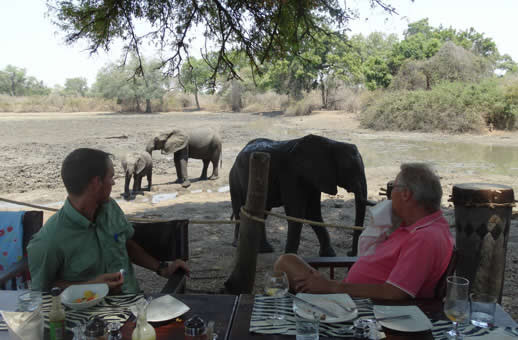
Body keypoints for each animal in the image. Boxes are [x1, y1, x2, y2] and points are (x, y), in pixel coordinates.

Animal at [232, 134, 370, 256]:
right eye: (349, 169)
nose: (350, 253)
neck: (332, 144)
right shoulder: (291, 174)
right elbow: (296, 213)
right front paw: (289, 257)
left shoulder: (314, 178)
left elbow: (313, 213)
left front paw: (329, 254)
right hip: (238, 179)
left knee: (262, 212)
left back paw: (265, 250)